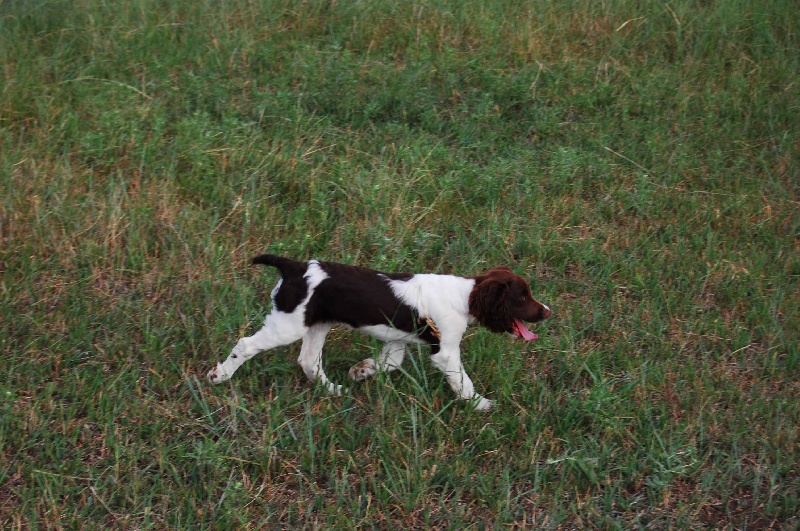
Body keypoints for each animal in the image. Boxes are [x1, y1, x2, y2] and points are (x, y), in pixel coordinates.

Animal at [206, 256, 552, 410]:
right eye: (522, 297)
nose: (547, 311)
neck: (464, 295)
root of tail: (295, 267)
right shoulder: (447, 350)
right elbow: (463, 381)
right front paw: (481, 404)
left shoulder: (397, 341)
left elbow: (390, 363)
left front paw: (360, 371)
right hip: (288, 325)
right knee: (246, 344)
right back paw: (220, 375)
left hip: (317, 323)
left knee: (309, 361)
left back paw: (334, 390)